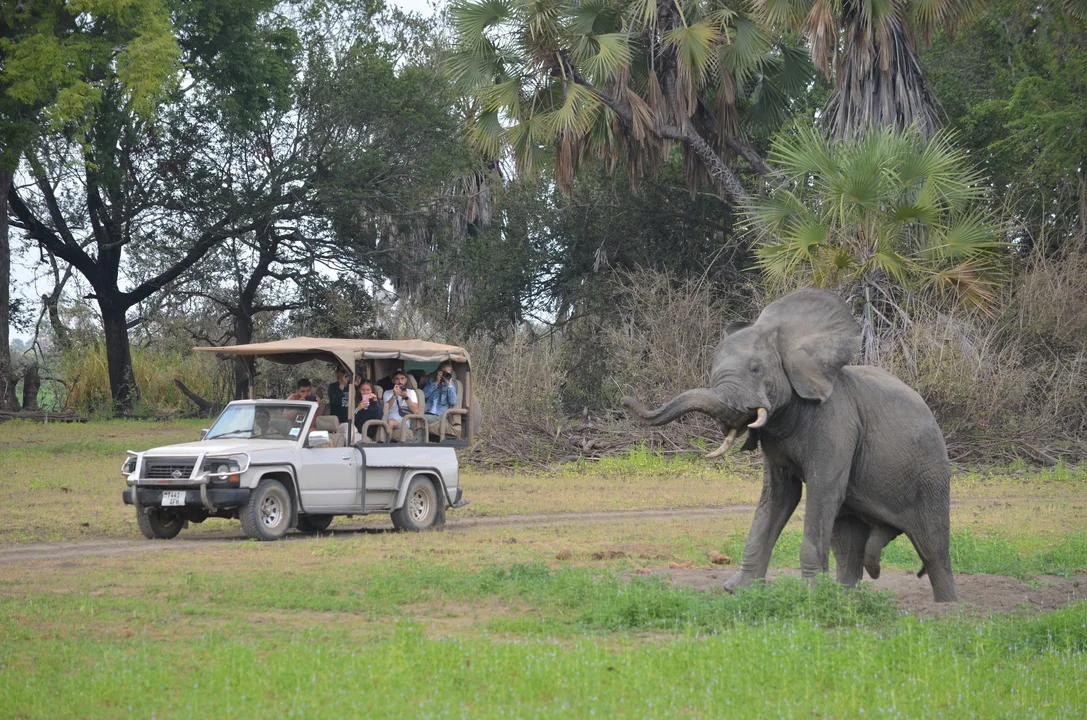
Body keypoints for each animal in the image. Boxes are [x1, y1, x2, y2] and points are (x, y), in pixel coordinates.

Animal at [626, 287, 956, 604]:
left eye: (756, 368)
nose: (627, 399)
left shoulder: (836, 421)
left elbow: (823, 491)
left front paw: (810, 594)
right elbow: (779, 496)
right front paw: (739, 590)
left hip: (930, 473)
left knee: (933, 548)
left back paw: (947, 606)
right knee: (847, 544)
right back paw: (844, 599)